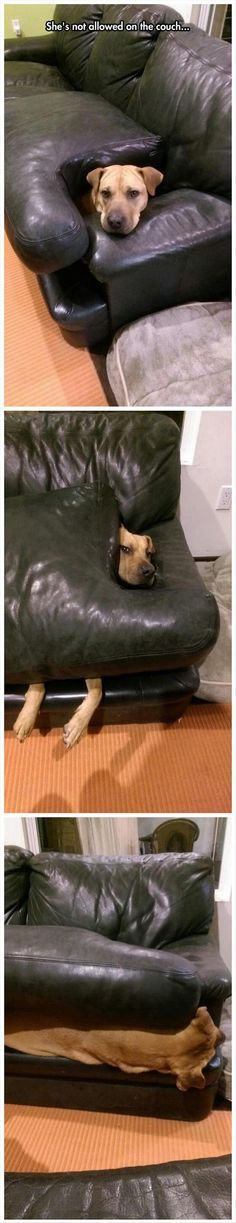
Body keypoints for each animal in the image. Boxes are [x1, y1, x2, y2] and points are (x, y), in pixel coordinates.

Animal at [12, 523, 156, 743]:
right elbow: (37, 680)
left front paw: (77, 725)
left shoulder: (88, 657)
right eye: (124, 549)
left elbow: (97, 692)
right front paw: (27, 717)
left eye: (148, 553)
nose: (151, 570)